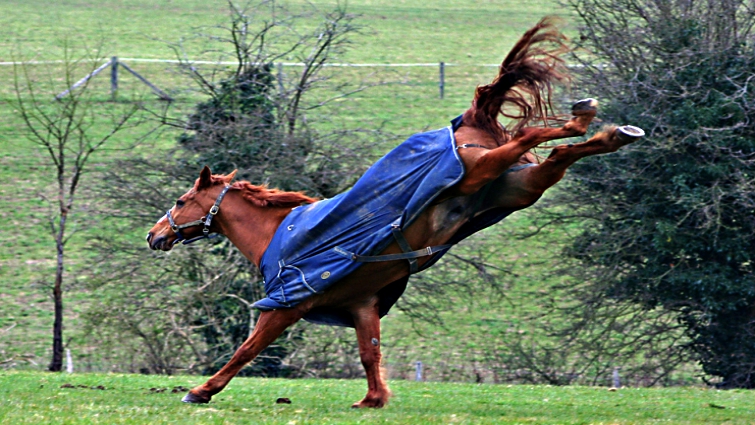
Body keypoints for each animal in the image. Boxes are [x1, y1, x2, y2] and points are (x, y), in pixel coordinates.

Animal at [147, 18, 644, 408]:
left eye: (180, 201)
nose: (154, 236)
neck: (278, 233)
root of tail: (469, 121)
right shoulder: (363, 304)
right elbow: (371, 352)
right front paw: (373, 398)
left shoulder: (287, 305)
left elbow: (247, 349)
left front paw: (201, 391)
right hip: (516, 189)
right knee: (558, 155)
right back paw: (611, 132)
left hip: (483, 169)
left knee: (532, 138)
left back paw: (583, 118)